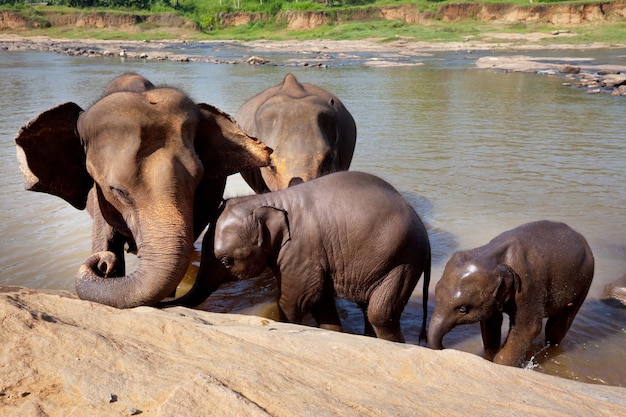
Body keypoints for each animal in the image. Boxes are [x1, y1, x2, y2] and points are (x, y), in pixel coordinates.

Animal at [14, 73, 270, 308]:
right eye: (118, 191)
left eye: (198, 180)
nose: (103, 264)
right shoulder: (99, 199)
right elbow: (106, 242)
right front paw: (110, 258)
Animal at [200, 171, 428, 342]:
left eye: (226, 261)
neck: (269, 200)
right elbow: (321, 301)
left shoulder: (301, 251)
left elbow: (295, 301)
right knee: (368, 309)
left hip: (404, 261)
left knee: (379, 314)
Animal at [426, 219, 592, 366]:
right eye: (436, 294)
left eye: (463, 309)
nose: (445, 347)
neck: (490, 254)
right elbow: (491, 322)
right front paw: (489, 357)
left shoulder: (529, 284)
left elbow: (527, 329)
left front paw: (501, 363)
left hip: (585, 280)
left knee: (558, 324)